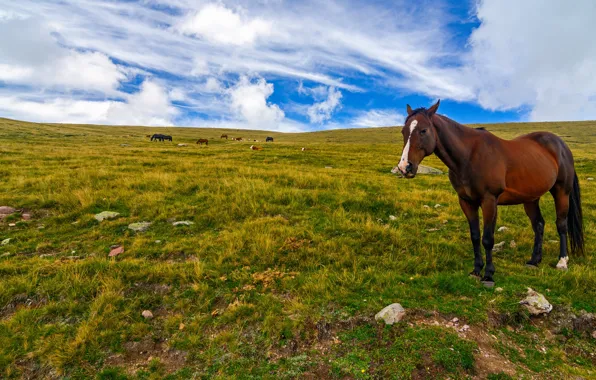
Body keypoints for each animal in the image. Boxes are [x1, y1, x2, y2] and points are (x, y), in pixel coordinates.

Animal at [394, 100, 584, 284]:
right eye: (403, 131)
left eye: (423, 130)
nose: (405, 167)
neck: (469, 157)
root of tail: (561, 145)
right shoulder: (466, 202)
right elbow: (475, 236)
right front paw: (476, 270)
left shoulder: (489, 201)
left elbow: (487, 238)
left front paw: (488, 275)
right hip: (530, 198)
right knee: (538, 224)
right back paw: (534, 260)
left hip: (562, 192)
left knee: (561, 224)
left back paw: (562, 261)